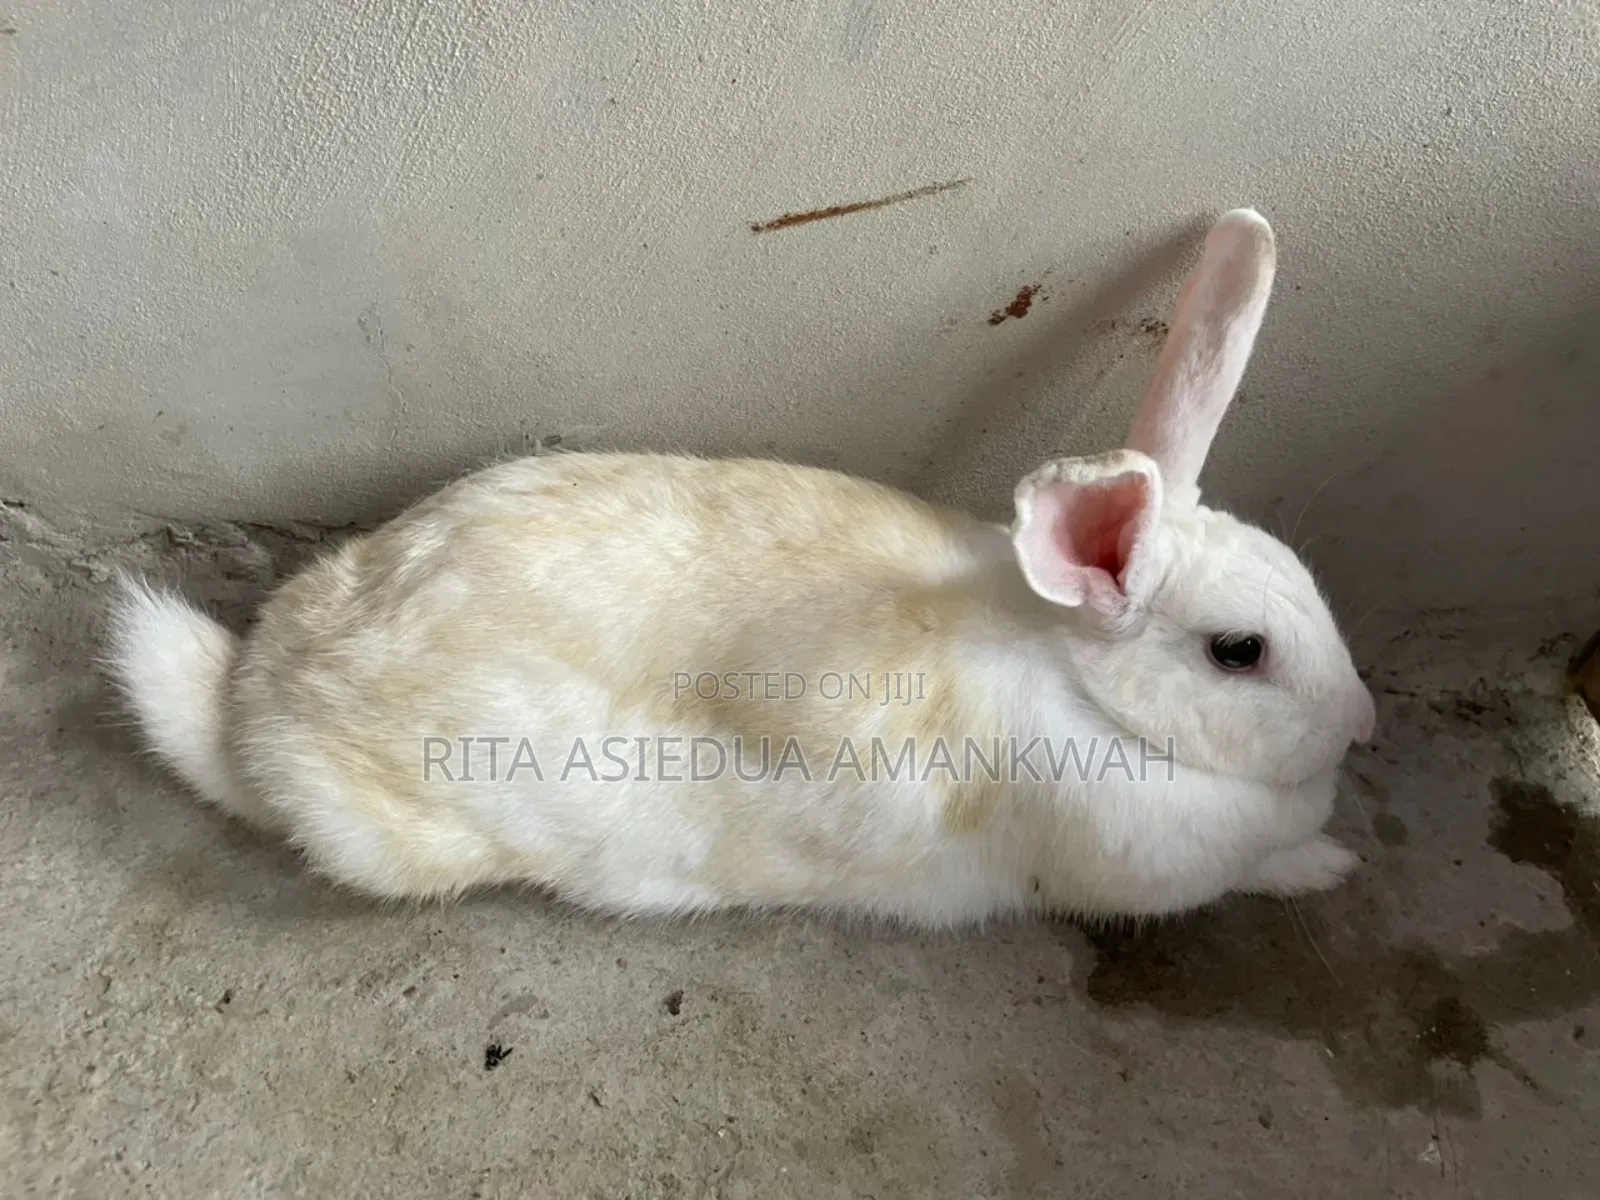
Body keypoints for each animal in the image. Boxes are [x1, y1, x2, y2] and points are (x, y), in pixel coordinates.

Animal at [106, 207, 1375, 928]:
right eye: (1237, 651)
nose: (1362, 724)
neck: (1081, 689)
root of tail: (254, 707)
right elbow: (1246, 871)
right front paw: (1325, 865)